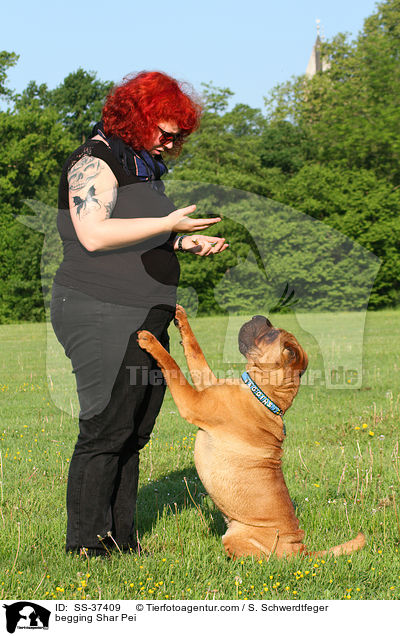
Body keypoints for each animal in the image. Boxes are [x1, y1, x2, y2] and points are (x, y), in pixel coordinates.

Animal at [138, 306, 366, 560]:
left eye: (271, 334)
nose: (260, 316)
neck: (262, 393)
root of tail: (300, 550)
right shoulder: (206, 381)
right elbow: (195, 351)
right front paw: (181, 317)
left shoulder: (193, 403)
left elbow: (173, 367)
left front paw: (151, 342)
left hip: (238, 537)